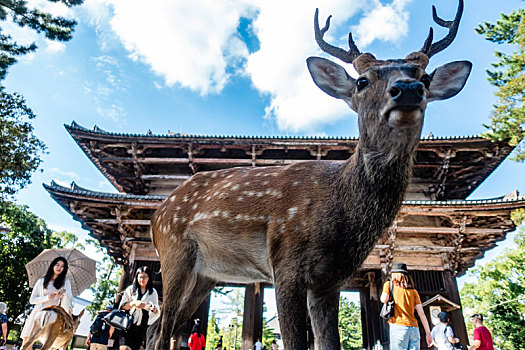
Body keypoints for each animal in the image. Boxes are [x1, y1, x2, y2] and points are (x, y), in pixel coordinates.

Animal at [147, 1, 470, 348]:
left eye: (424, 78)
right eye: (362, 81)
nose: (408, 89)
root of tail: (156, 215)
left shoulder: (330, 280)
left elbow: (329, 341)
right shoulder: (285, 260)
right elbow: (295, 340)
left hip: (206, 274)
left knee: (158, 328)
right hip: (174, 250)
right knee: (163, 327)